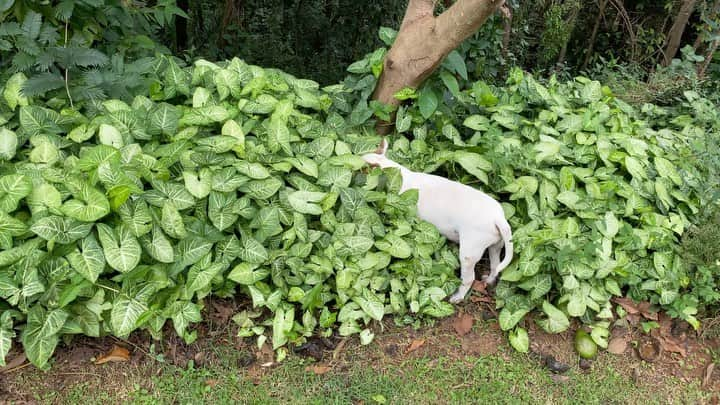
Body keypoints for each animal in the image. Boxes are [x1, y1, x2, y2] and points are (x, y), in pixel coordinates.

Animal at [366, 137, 512, 302]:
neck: (395, 174)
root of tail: (498, 218)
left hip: (468, 254)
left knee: (469, 278)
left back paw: (457, 297)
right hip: (496, 246)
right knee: (495, 265)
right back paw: (489, 280)